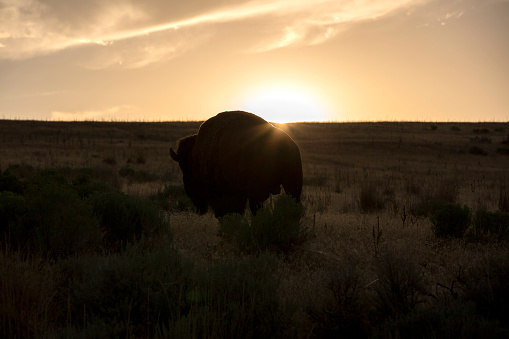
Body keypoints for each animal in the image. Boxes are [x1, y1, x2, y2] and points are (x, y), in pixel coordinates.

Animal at [169, 110, 304, 219]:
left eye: (185, 167)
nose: (188, 191)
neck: (197, 155)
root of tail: (284, 144)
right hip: (292, 185)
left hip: (258, 191)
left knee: (256, 210)